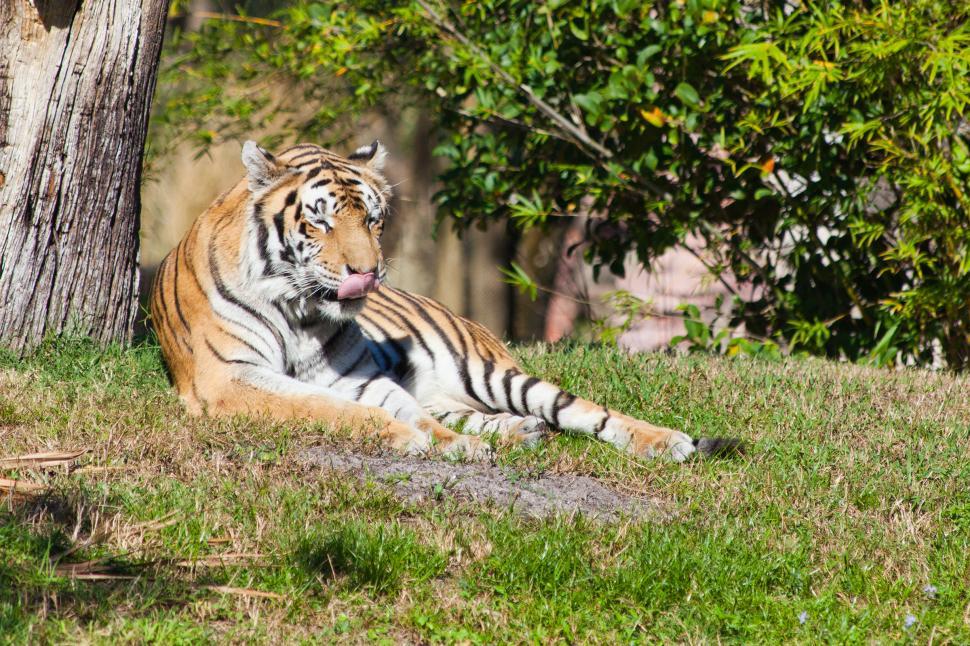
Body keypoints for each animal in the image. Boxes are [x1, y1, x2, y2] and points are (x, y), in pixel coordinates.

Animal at [149, 142, 732, 466]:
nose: (368, 273)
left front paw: (447, 445)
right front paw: (423, 441)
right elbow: (328, 407)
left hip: (492, 372)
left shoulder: (355, 377)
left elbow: (390, 409)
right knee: (468, 412)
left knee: (583, 409)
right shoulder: (230, 376)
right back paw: (520, 432)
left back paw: (664, 441)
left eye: (373, 219)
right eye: (320, 221)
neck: (301, 310)